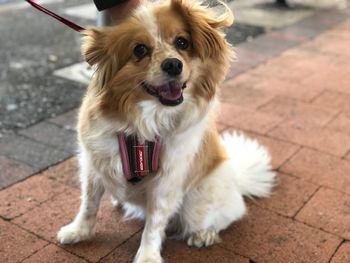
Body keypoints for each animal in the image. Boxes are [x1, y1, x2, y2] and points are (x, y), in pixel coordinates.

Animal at [57, 1, 276, 262]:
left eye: (182, 42)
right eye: (139, 50)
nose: (173, 64)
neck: (142, 127)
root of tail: (236, 179)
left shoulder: (167, 181)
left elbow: (154, 224)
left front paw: (147, 256)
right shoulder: (94, 164)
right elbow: (88, 204)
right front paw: (78, 231)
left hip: (198, 204)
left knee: (228, 215)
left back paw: (205, 234)